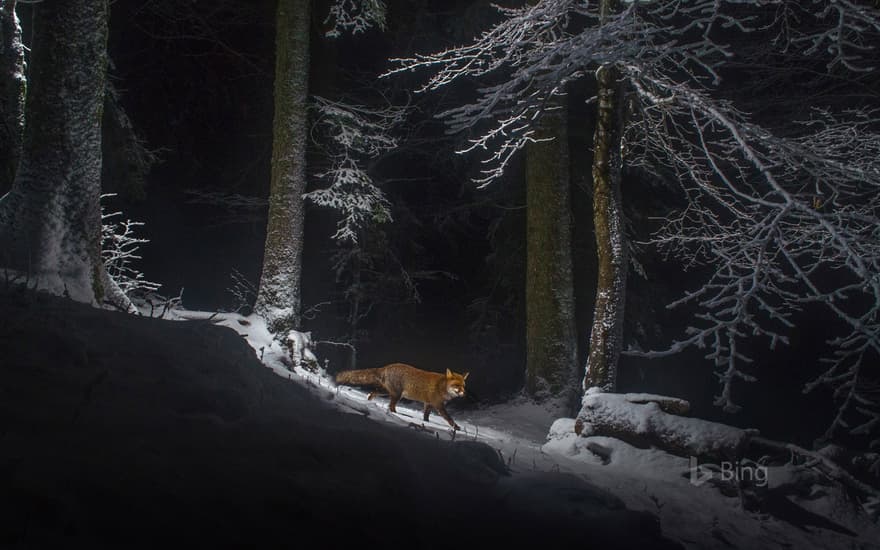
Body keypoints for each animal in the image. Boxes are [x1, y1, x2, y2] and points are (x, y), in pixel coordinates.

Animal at [334, 366, 468, 432]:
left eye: (463, 385)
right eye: (457, 385)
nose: (463, 393)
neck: (441, 386)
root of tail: (387, 366)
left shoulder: (428, 404)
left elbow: (426, 416)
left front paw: (426, 423)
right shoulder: (438, 404)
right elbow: (449, 418)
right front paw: (456, 427)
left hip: (386, 392)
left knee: (372, 393)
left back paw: (368, 403)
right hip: (396, 395)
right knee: (391, 406)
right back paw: (395, 415)